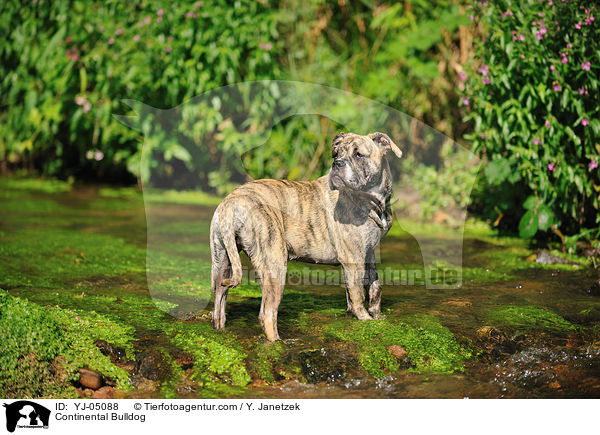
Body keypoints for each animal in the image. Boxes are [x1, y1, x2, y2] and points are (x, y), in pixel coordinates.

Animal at [209, 131, 400, 342]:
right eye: (336, 154)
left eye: (358, 154)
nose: (337, 163)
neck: (373, 201)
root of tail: (231, 203)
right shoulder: (353, 258)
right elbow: (358, 294)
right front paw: (366, 321)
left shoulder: (368, 253)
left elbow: (374, 286)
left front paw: (377, 316)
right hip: (274, 265)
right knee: (267, 313)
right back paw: (279, 342)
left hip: (221, 262)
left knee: (219, 305)